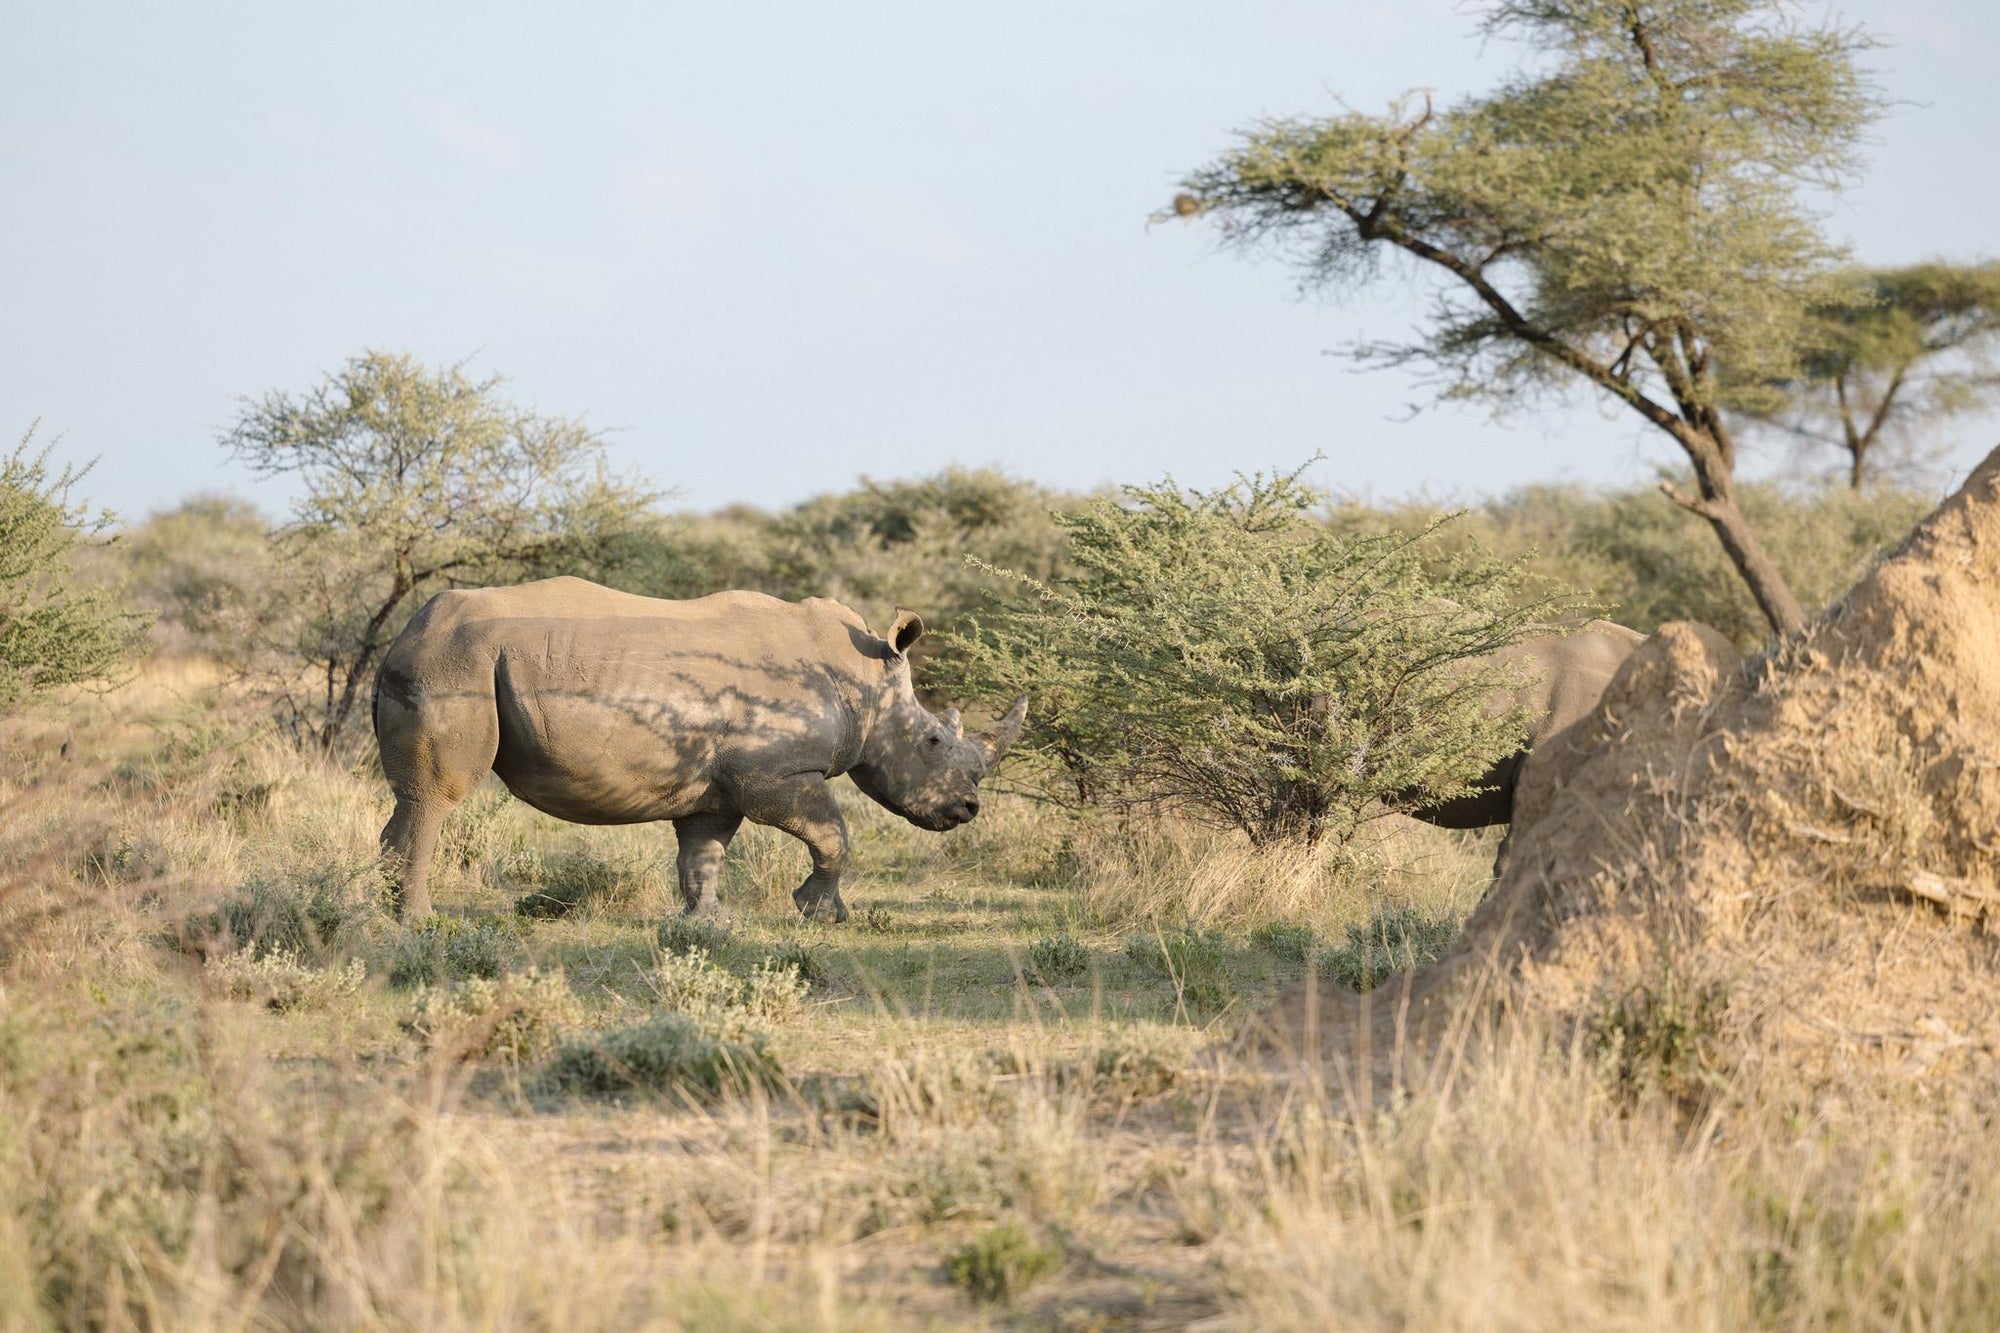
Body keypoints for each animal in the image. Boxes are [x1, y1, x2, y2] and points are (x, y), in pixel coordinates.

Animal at [371, 577, 1027, 923]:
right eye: (933, 741)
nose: (968, 810)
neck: (862, 682)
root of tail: (403, 635)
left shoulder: (717, 787)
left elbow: (703, 854)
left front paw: (707, 924)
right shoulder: (774, 774)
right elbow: (834, 835)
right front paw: (820, 914)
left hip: (444, 659)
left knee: (412, 800)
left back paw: (388, 912)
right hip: (455, 662)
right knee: (436, 798)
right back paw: (418, 921)